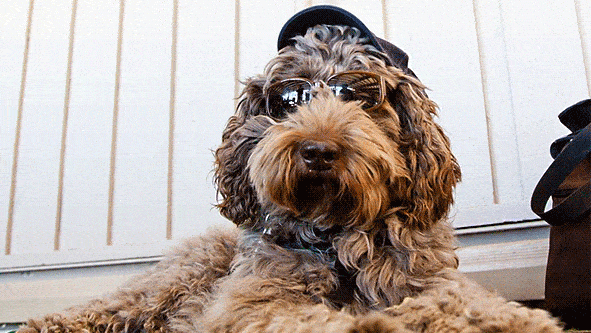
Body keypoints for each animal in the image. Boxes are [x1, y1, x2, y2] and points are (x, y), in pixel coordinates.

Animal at [19, 5, 564, 332]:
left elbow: (468, 302)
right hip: (173, 279)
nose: (318, 151)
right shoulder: (255, 304)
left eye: (360, 95)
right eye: (289, 98)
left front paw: (505, 319)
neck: (337, 242)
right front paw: (386, 322)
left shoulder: (427, 279)